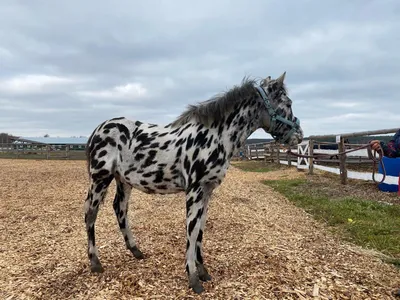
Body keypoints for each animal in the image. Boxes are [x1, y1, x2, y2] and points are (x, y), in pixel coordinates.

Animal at [84, 72, 304, 292]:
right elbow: (191, 229)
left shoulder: (207, 191)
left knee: (120, 209)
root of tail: (98, 129)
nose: (299, 136)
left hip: (123, 180)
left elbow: (200, 229)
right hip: (100, 178)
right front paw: (193, 278)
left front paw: (203, 271)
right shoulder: (194, 190)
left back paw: (135, 250)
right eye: (288, 103)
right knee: (90, 214)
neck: (214, 137)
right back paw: (95, 262)